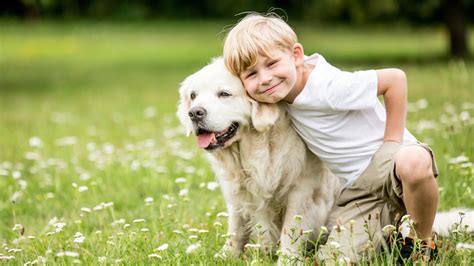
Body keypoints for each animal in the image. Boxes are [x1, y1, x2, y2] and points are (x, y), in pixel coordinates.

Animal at [178, 57, 340, 260]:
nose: (194, 113)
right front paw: (227, 255)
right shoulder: (238, 194)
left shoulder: (302, 191)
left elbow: (290, 229)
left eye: (224, 94)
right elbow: (236, 227)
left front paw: (287, 260)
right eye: (193, 95)